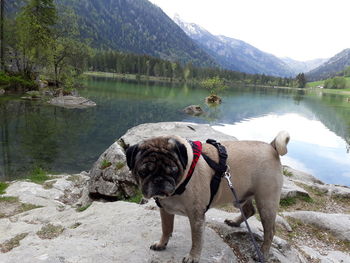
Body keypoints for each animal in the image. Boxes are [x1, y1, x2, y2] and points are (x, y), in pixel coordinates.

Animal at [126, 132, 290, 263]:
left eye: (172, 171)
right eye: (143, 172)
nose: (159, 180)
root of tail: (272, 147)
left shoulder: (196, 217)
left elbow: (196, 240)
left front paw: (193, 257)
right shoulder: (165, 211)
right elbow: (166, 229)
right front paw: (161, 244)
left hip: (266, 203)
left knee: (270, 231)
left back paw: (262, 252)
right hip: (239, 196)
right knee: (249, 210)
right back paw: (235, 222)